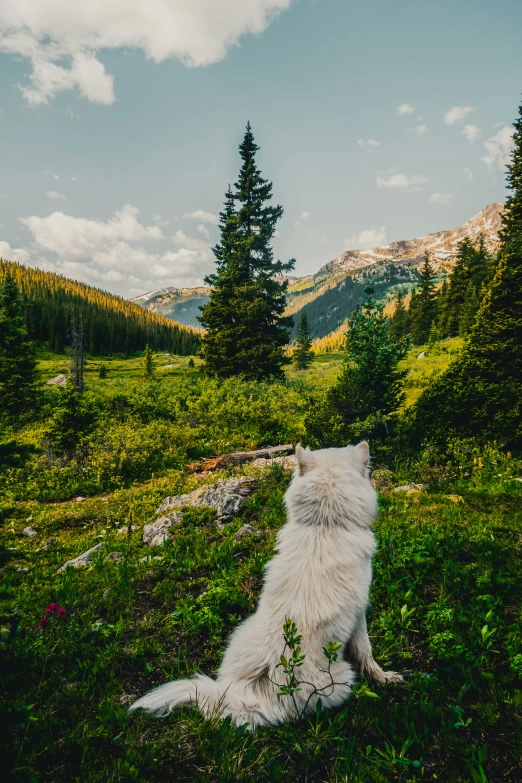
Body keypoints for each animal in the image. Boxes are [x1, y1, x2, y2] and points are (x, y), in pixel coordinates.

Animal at [131, 444, 402, 724]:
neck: (324, 526)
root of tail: (254, 697)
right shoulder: (359, 615)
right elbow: (366, 652)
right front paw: (384, 678)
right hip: (342, 679)